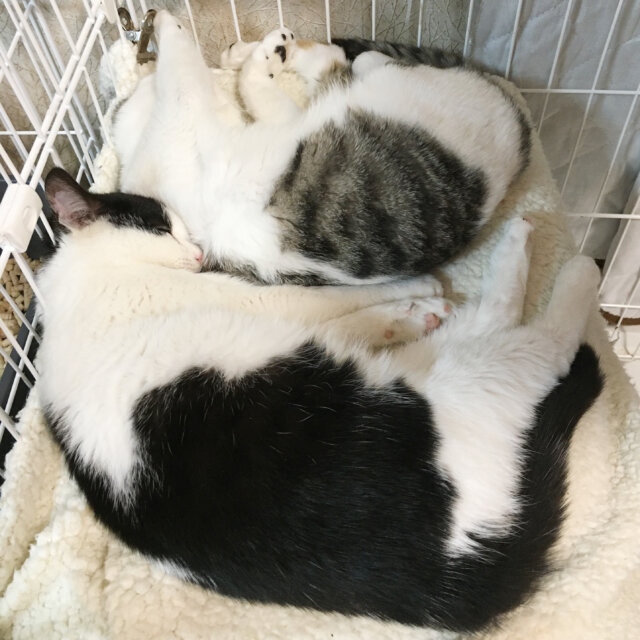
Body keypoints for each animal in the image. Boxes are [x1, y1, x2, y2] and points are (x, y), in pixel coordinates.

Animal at [38, 168, 602, 632]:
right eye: (160, 227)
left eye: (182, 228)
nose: (198, 253)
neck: (84, 285)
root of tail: (454, 570)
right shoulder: (265, 302)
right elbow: (335, 298)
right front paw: (413, 290)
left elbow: (350, 320)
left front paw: (408, 310)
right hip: (465, 381)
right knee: (534, 339)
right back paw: (562, 265)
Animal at [113, 10, 530, 286]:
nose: (140, 85)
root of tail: (519, 118)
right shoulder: (189, 114)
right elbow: (192, 68)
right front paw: (169, 24)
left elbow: (223, 79)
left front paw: (161, 23)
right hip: (398, 82)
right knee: (351, 61)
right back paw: (276, 47)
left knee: (338, 63)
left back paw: (252, 50)